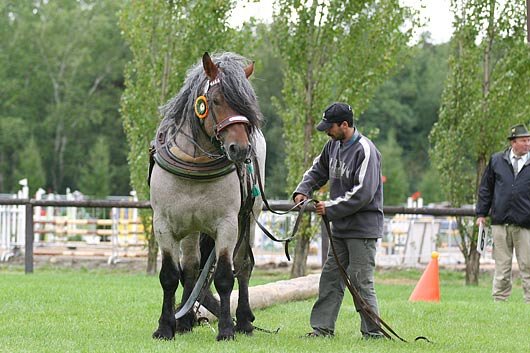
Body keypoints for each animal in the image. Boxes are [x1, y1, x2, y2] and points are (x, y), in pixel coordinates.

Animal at [147, 53, 264, 340]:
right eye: (217, 100)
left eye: (247, 105)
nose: (240, 149)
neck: (195, 164)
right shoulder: (163, 225)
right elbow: (170, 275)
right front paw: (165, 327)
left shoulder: (227, 225)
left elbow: (224, 277)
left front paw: (226, 329)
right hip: (191, 228)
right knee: (191, 266)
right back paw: (186, 320)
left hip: (248, 220)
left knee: (243, 266)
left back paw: (243, 320)